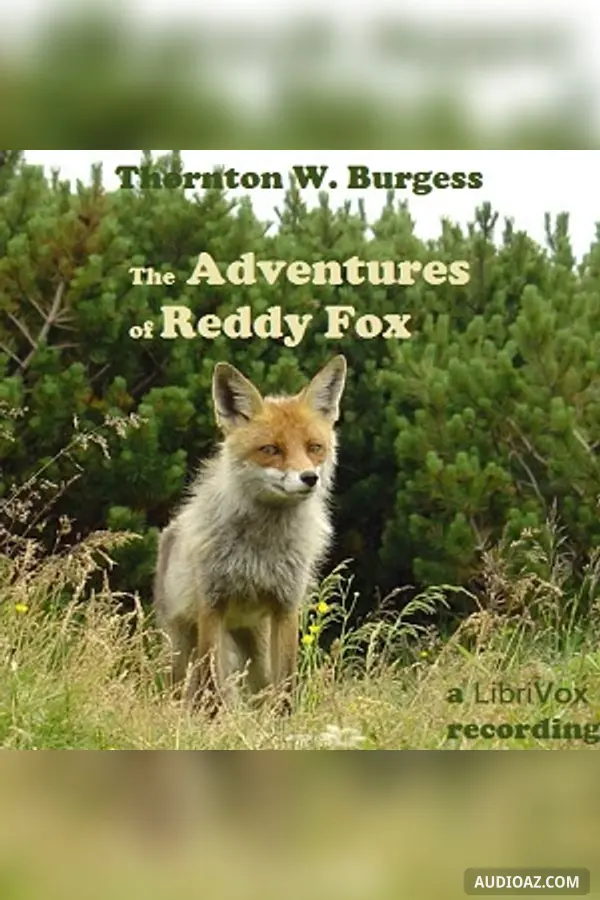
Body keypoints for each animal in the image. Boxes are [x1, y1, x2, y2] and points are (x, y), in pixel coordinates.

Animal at [153, 354, 347, 712]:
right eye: (271, 449)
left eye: (314, 447)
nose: (309, 478)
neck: (261, 550)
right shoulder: (212, 606)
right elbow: (211, 688)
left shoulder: (286, 607)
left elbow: (285, 686)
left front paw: (283, 723)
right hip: (180, 645)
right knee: (185, 688)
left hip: (255, 645)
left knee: (262, 688)